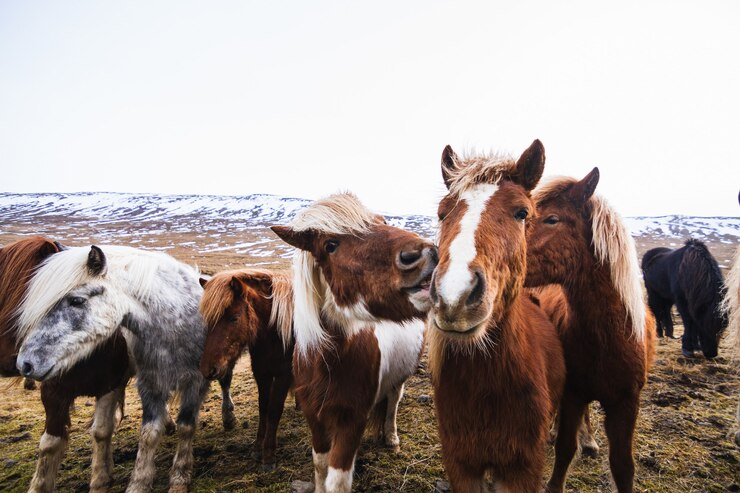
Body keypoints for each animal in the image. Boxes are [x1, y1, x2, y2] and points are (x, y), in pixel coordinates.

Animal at [15, 244, 231, 490]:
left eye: (77, 301)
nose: (25, 363)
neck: (176, 326)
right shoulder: (150, 385)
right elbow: (148, 433)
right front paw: (139, 482)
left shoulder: (196, 383)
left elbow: (186, 426)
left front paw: (179, 478)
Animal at [202, 268, 298, 468]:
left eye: (234, 318)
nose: (208, 369)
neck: (274, 336)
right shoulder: (261, 374)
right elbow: (263, 407)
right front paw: (257, 447)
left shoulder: (283, 375)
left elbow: (274, 410)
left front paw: (268, 454)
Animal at [268, 192, 436, 492]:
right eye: (330, 245)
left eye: (383, 221)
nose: (423, 253)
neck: (327, 363)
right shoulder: (315, 419)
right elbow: (320, 466)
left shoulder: (351, 422)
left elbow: (337, 480)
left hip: (400, 379)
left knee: (393, 402)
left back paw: (391, 438)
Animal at [524, 167, 656, 490]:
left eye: (552, 219)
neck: (611, 337)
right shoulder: (573, 392)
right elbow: (565, 449)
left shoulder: (626, 403)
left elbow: (623, 465)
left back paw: (589, 440)